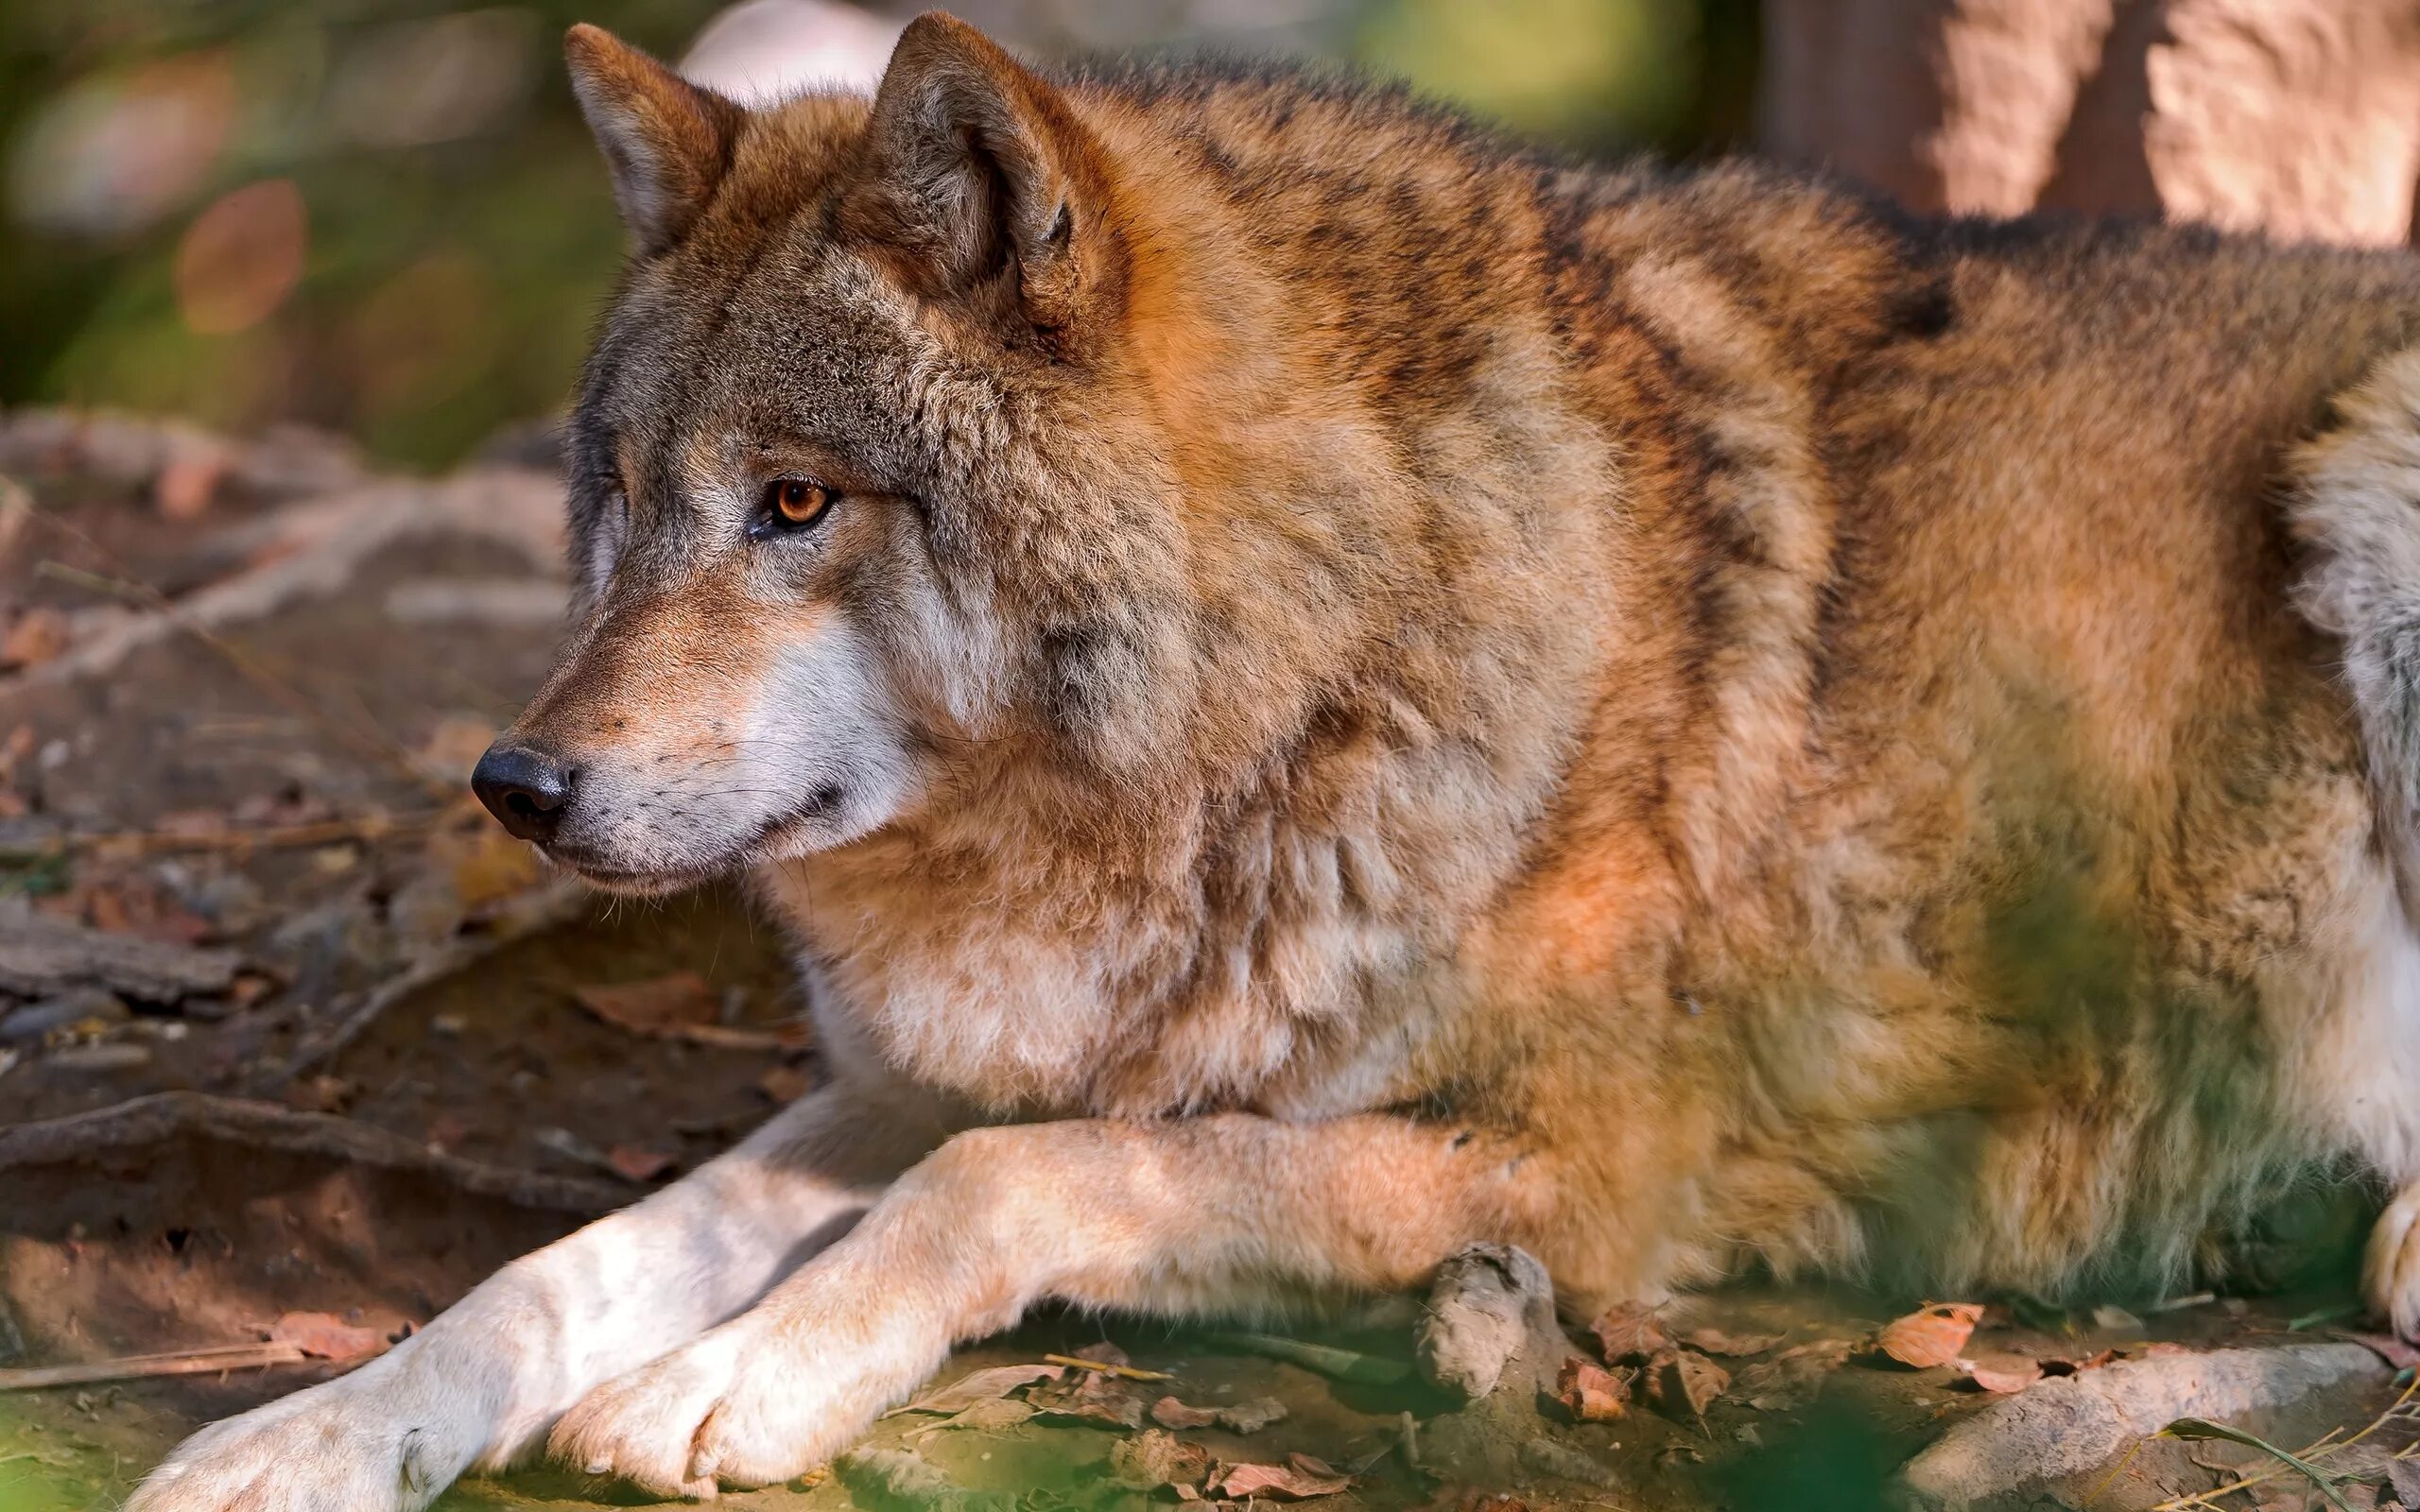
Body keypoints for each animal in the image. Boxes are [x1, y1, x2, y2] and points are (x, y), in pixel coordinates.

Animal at [128, 11, 2420, 1509]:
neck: (1299, 692)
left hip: (2372, 481)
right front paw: (299, 1435)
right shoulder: (920, 1074)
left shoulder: (1587, 1164)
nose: (515, 786)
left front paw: (738, 1382)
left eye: (795, 502)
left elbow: (1017, 1175)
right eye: (619, 497)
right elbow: (551, 1268)